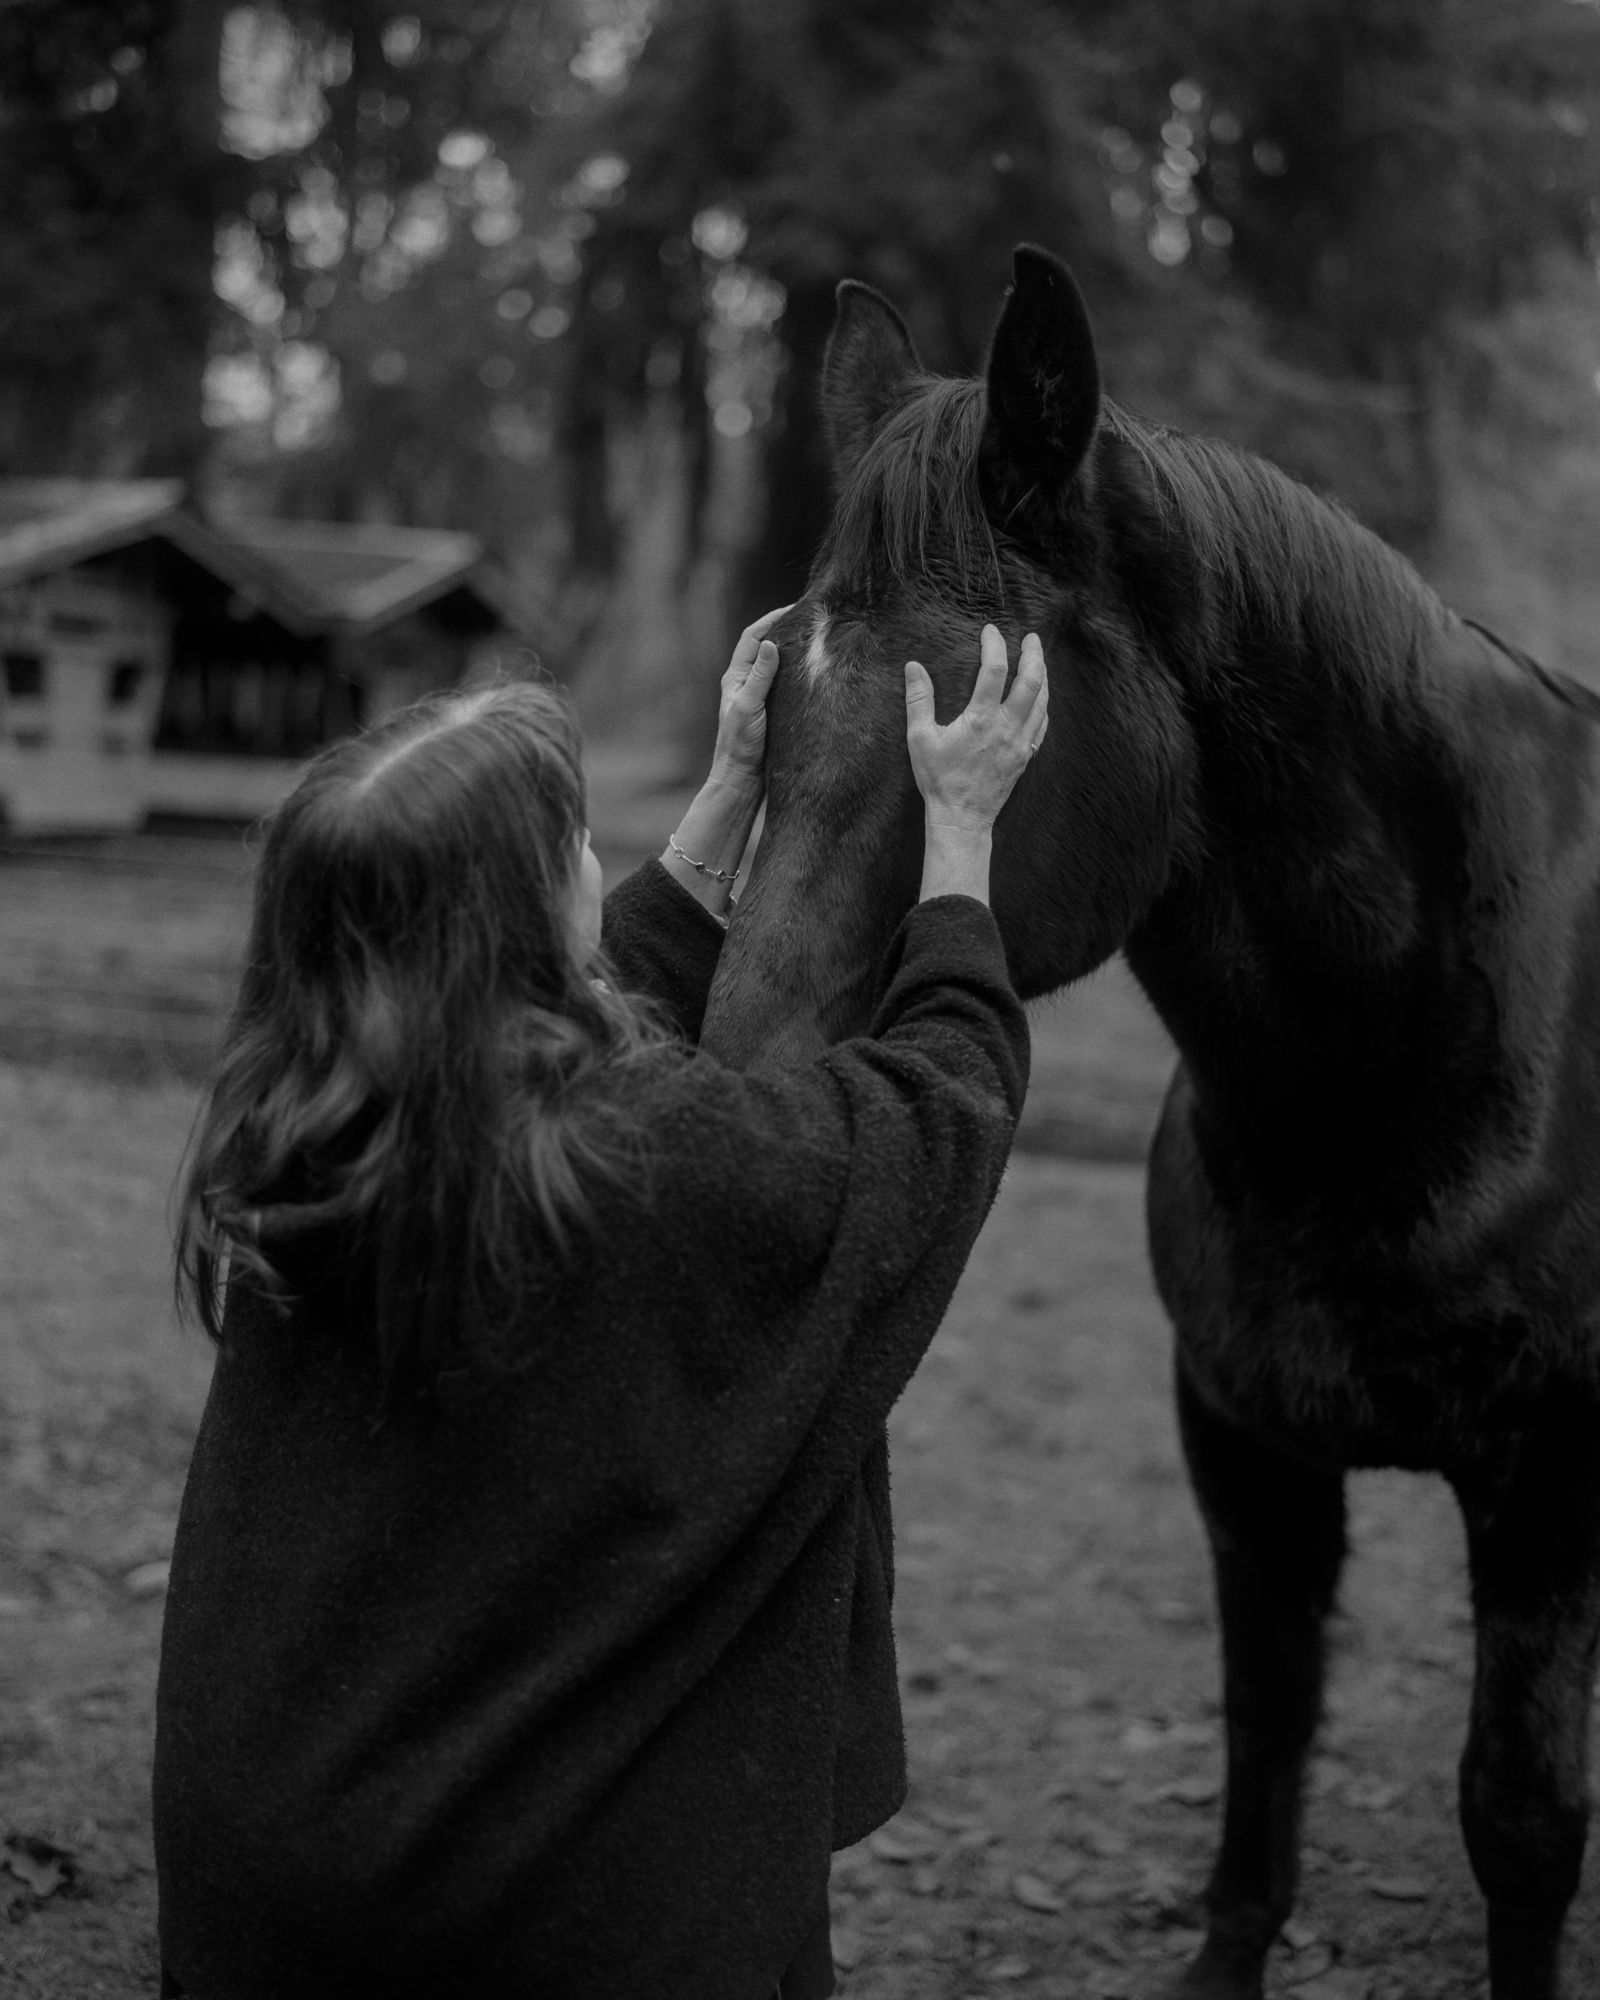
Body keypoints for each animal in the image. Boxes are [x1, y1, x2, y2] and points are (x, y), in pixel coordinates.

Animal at [697, 245, 1600, 2000]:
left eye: (961, 733)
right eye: (772, 710)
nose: (749, 1103)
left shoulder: (1545, 1479)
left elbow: (1520, 1814)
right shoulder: (1246, 1450)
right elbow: (1264, 1745)